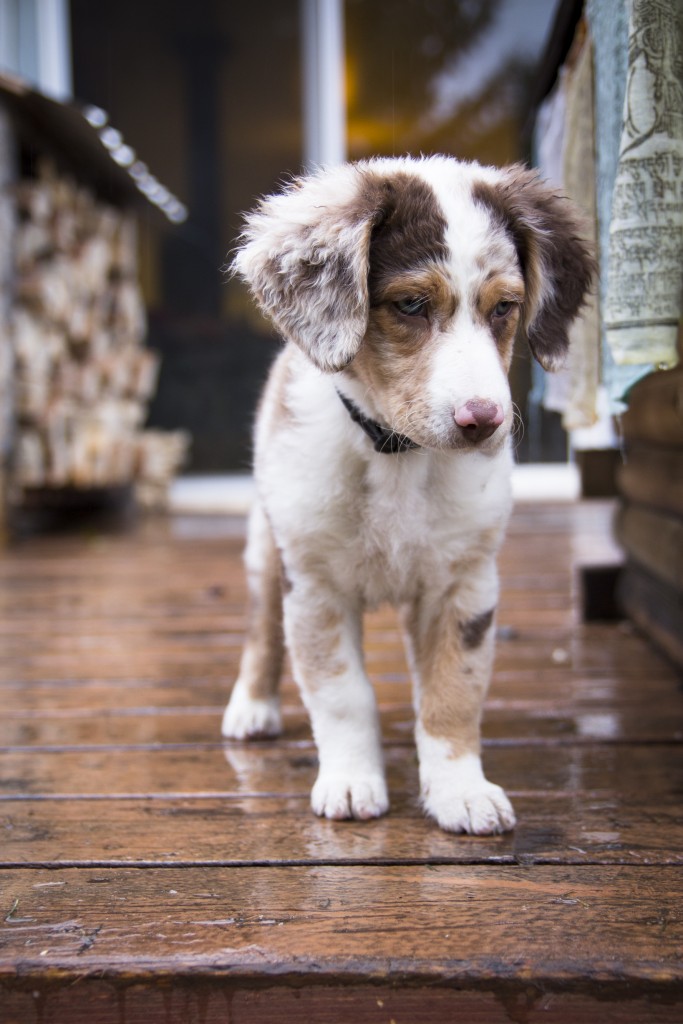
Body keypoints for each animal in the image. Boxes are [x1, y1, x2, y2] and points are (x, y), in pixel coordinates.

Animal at [223, 155, 593, 835]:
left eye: (505, 308)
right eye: (412, 304)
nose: (483, 421)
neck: (397, 457)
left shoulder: (463, 582)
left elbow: (453, 690)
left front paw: (460, 791)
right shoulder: (314, 584)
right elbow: (341, 692)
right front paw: (350, 781)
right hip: (267, 545)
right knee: (261, 627)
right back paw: (252, 707)